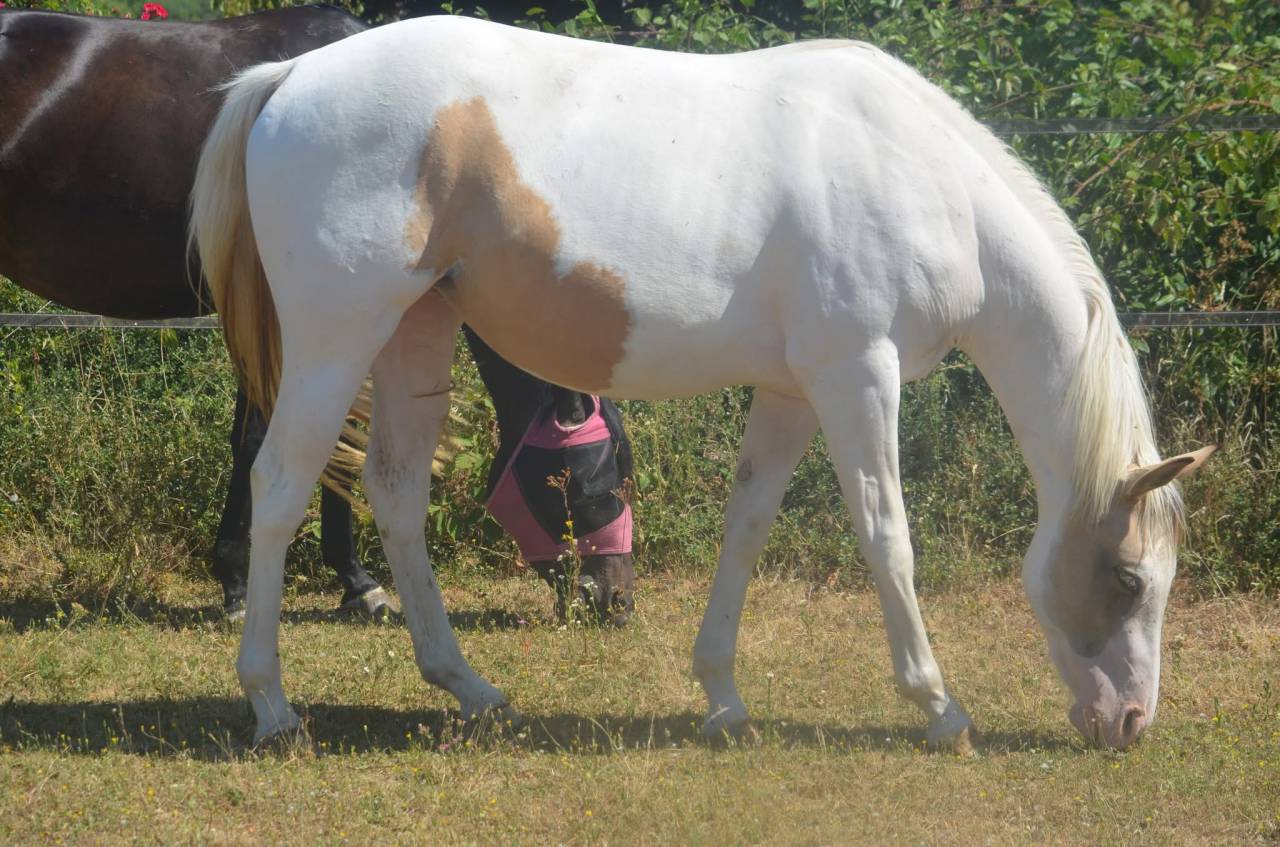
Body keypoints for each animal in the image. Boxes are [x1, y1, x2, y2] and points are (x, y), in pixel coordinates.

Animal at [190, 16, 1214, 750]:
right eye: (1128, 578)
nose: (1129, 724)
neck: (923, 179)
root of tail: (292, 76)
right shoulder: (858, 375)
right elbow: (887, 535)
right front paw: (939, 709)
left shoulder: (795, 391)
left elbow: (747, 523)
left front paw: (723, 698)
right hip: (335, 341)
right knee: (279, 485)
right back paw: (272, 704)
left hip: (417, 334)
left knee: (396, 493)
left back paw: (471, 687)